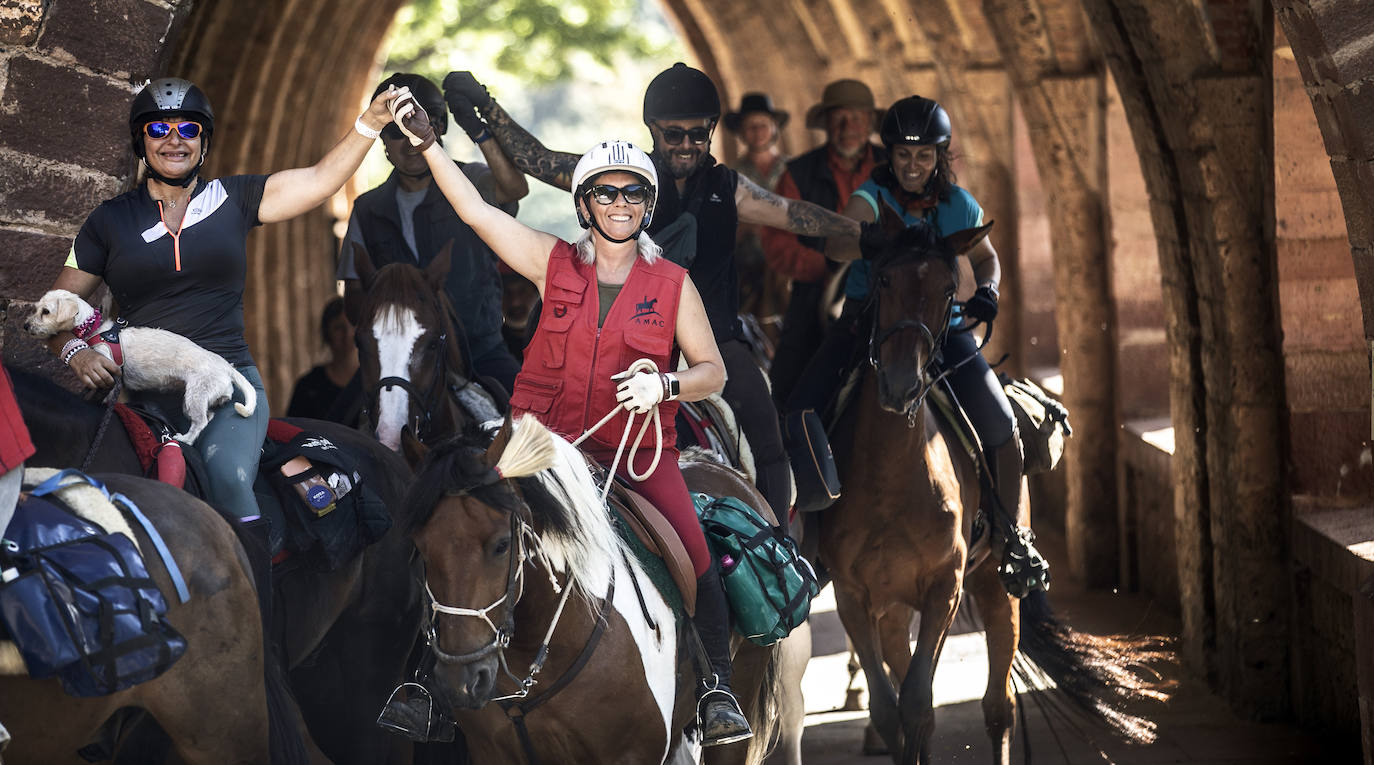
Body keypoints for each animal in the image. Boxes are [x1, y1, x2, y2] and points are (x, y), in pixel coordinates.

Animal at [25, 288, 256, 444]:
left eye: (45, 311)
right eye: (36, 308)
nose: (26, 326)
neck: (94, 329)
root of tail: (226, 366)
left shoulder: (109, 373)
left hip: (196, 395)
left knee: (200, 422)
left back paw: (185, 439)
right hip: (198, 399)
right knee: (208, 416)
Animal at [813, 223, 1170, 758]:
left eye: (948, 290)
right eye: (883, 280)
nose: (901, 384)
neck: (890, 480)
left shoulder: (947, 584)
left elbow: (918, 704)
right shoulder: (852, 593)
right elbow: (891, 709)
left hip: (996, 584)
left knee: (998, 705)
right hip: (893, 606)